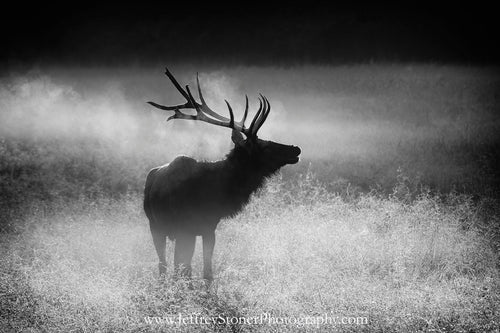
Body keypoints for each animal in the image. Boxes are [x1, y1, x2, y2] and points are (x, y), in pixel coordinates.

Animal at [145, 68, 300, 282]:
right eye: (264, 146)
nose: (296, 149)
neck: (219, 190)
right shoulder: (195, 227)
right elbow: (194, 270)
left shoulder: (205, 228)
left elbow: (202, 270)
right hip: (158, 226)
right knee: (167, 265)